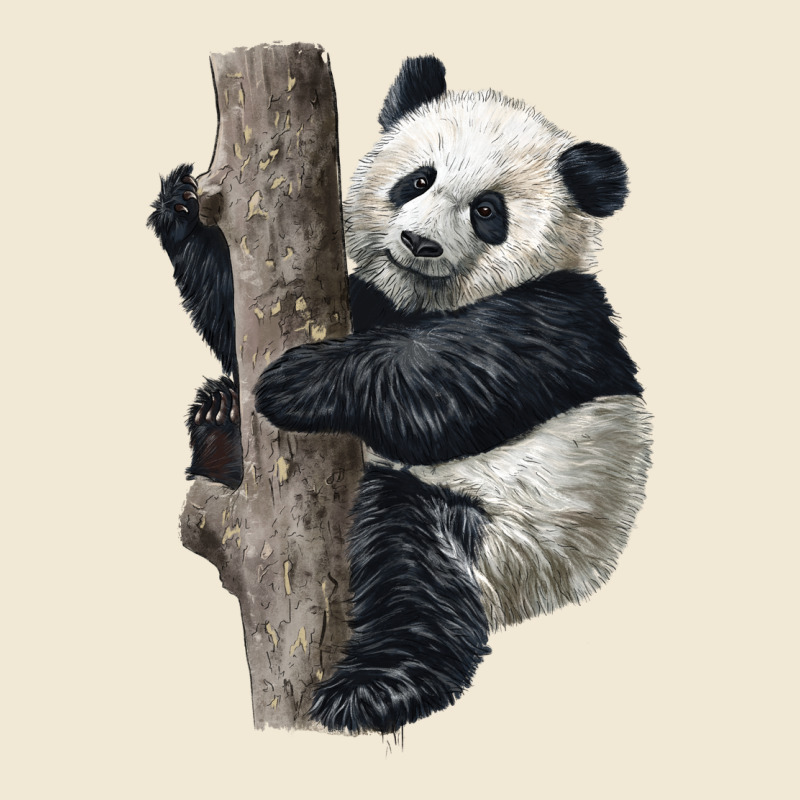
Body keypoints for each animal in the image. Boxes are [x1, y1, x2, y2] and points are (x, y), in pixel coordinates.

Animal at [149, 55, 651, 735]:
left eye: (487, 211)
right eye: (418, 180)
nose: (420, 244)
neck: (430, 299)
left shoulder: (559, 318)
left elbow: (443, 388)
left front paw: (296, 381)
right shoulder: (371, 301)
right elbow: (237, 320)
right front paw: (180, 207)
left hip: (510, 535)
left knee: (410, 566)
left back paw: (371, 692)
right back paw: (218, 426)